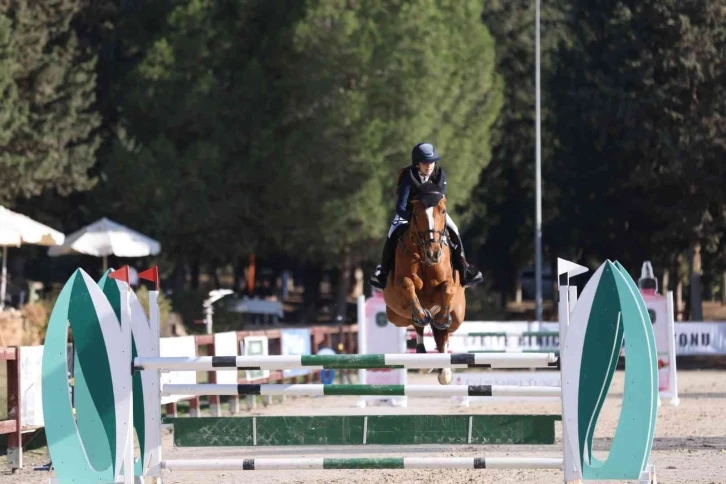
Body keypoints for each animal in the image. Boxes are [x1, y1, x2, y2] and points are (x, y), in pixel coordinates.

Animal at [382, 183, 466, 384]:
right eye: (418, 213)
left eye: (442, 211)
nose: (434, 253)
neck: (423, 257)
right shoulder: (402, 283)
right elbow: (408, 285)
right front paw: (421, 314)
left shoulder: (448, 283)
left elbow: (448, 288)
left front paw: (442, 318)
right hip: (397, 316)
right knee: (418, 326)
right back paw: (424, 357)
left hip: (458, 316)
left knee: (444, 335)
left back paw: (445, 371)